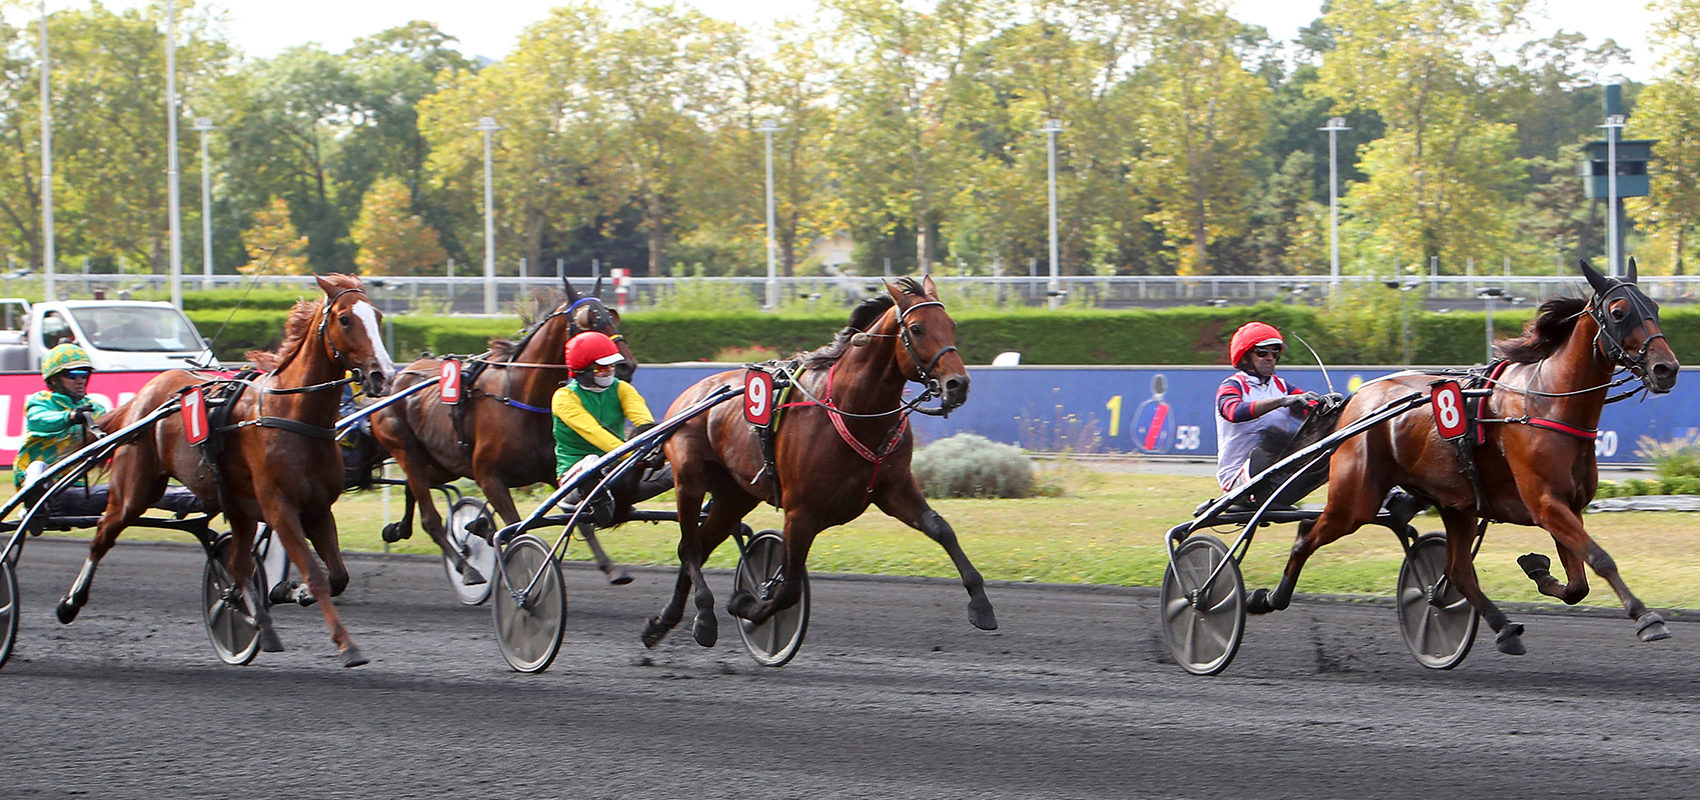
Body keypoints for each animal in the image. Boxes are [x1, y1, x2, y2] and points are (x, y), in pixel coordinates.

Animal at [55, 275, 394, 669]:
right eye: (344, 319)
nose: (382, 375)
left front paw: (293, 591)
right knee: (103, 534)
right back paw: (70, 602)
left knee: (237, 567)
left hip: (238, 508)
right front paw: (346, 644)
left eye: (378, 316)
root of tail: (147, 393)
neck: (291, 414)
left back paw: (256, 621)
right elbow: (316, 574)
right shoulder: (280, 509)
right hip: (134, 490)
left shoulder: (318, 508)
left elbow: (338, 576)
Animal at [368, 278, 639, 584]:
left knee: (413, 488)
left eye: (612, 316)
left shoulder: (552, 470)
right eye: (587, 320)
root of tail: (394, 382)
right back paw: (466, 567)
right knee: (429, 517)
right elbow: (516, 528)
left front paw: (610, 567)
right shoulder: (490, 478)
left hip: (442, 462)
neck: (521, 398)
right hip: (407, 451)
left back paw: (401, 528)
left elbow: (581, 519)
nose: (625, 364)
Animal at [646, 275, 992, 652]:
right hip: (690, 480)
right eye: (916, 329)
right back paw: (705, 616)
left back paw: (664, 621)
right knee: (689, 547)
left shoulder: (894, 489)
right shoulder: (801, 513)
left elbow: (941, 528)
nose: (958, 385)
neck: (852, 410)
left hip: (734, 496)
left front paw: (981, 604)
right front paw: (747, 605)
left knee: (701, 545)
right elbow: (788, 588)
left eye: (951, 325)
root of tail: (690, 394)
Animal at [1244, 263, 1679, 659]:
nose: (1667, 369)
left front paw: (1537, 568)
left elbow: (1577, 585)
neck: (1547, 402)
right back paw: (1266, 598)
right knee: (1307, 536)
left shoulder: (1567, 506)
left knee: (1456, 571)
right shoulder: (1546, 504)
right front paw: (1646, 618)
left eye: (1655, 306)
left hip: (1457, 504)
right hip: (1355, 500)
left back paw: (1504, 629)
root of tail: (1358, 398)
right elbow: (1601, 559)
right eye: (1619, 311)